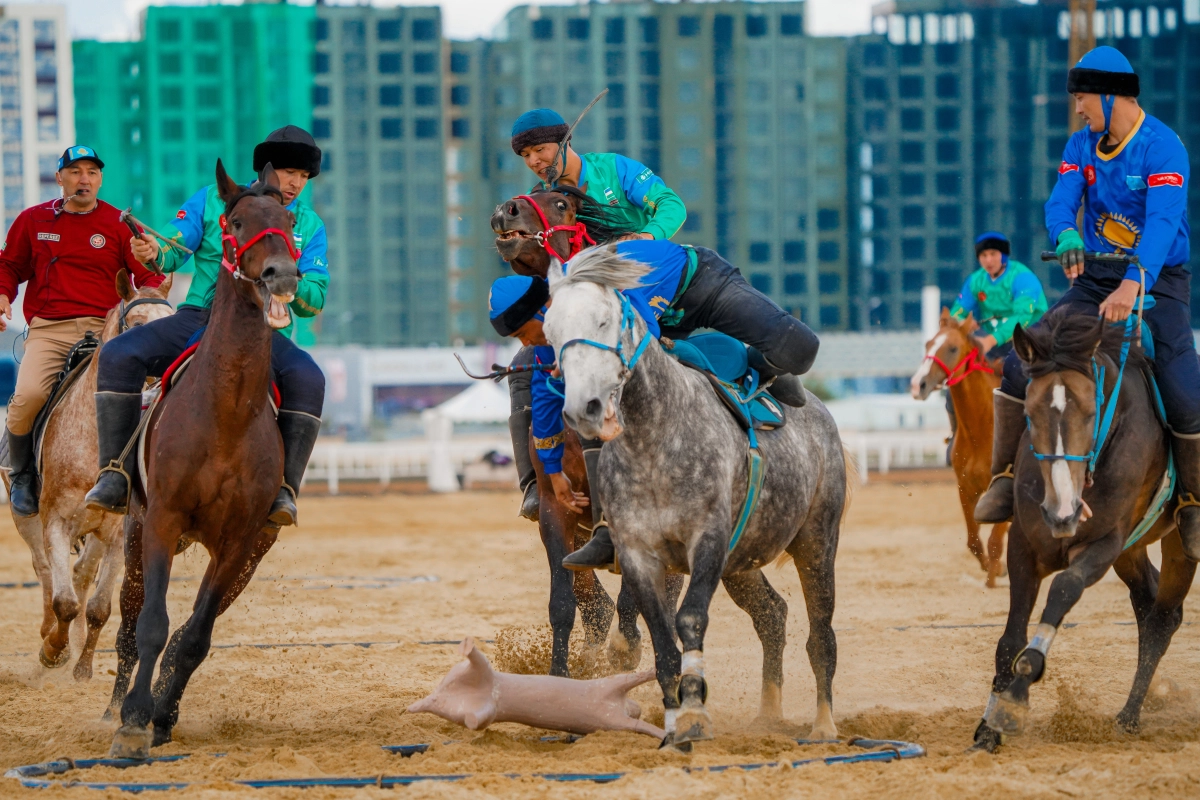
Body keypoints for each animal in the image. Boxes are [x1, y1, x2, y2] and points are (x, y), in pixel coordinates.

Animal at [0, 272, 174, 681]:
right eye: (137, 325)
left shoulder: (116, 532)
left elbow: (97, 607)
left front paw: (82, 665)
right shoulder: (56, 522)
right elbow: (64, 600)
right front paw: (53, 650)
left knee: (80, 574)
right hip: (26, 520)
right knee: (46, 572)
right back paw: (50, 636)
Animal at [108, 163, 302, 758]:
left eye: (290, 221)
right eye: (236, 222)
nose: (281, 275)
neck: (225, 414)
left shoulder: (239, 541)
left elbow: (194, 636)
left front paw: (162, 715)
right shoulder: (163, 521)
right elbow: (151, 625)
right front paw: (132, 720)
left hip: (250, 554)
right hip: (135, 537)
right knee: (127, 630)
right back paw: (115, 707)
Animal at [544, 247, 844, 748]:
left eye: (604, 320)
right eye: (550, 332)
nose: (582, 408)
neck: (656, 442)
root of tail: (820, 414)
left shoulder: (707, 541)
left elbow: (689, 621)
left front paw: (695, 712)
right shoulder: (639, 554)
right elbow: (663, 643)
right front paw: (673, 728)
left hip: (817, 543)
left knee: (821, 634)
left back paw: (823, 725)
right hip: (743, 560)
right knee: (773, 615)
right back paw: (768, 715)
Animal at [912, 309, 1008, 587]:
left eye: (953, 348)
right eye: (928, 344)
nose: (918, 384)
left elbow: (995, 542)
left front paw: (992, 578)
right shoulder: (965, 487)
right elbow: (974, 542)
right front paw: (996, 569)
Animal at [974, 311, 1190, 753]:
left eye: (1093, 412)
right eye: (1029, 412)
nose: (1062, 513)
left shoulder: (1102, 545)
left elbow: (1063, 589)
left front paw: (1019, 692)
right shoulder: (1025, 545)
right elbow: (1009, 640)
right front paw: (989, 726)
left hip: (1176, 545)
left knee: (1162, 621)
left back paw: (1128, 717)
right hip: (1132, 552)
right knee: (1148, 605)